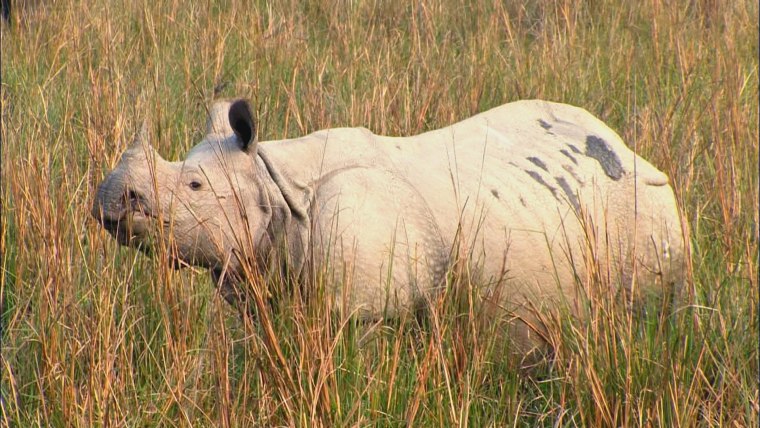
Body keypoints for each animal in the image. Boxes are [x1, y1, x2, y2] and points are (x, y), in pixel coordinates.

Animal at [92, 100, 684, 354]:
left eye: (193, 187)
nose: (108, 204)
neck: (271, 180)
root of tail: (631, 149)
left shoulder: (364, 307)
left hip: (640, 209)